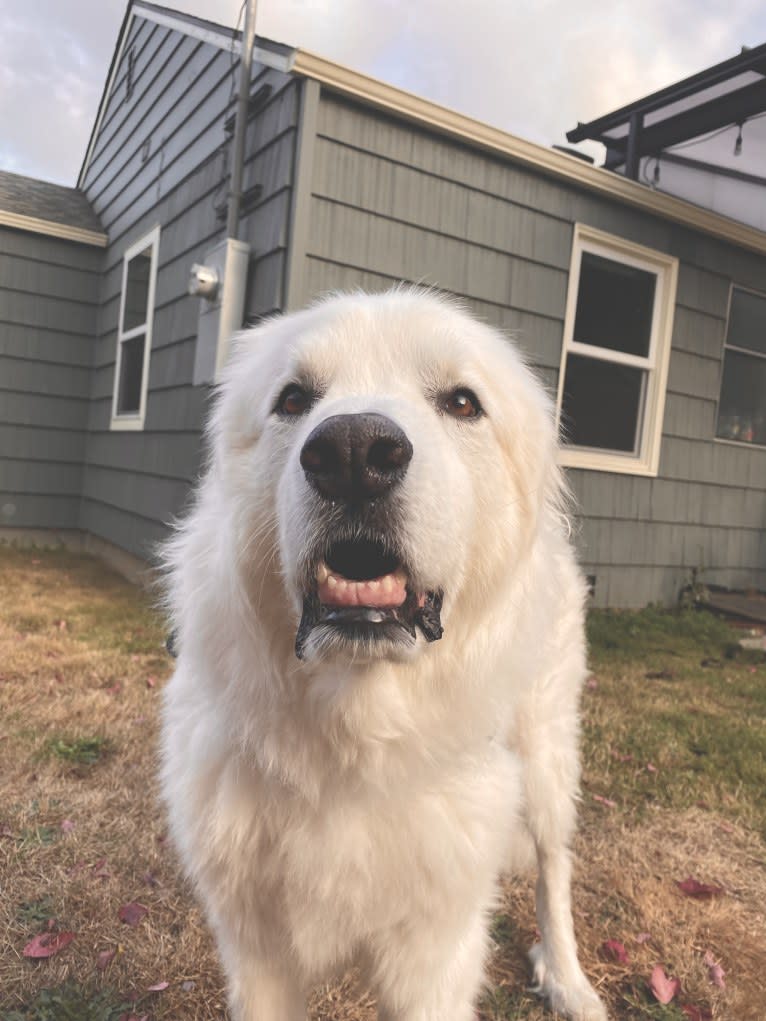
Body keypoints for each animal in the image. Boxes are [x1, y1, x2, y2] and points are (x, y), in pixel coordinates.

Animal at [160, 289, 604, 1021]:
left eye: (461, 402)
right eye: (292, 398)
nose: (352, 451)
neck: (359, 734)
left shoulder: (436, 960)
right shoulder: (259, 956)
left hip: (544, 757)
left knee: (554, 863)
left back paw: (568, 978)